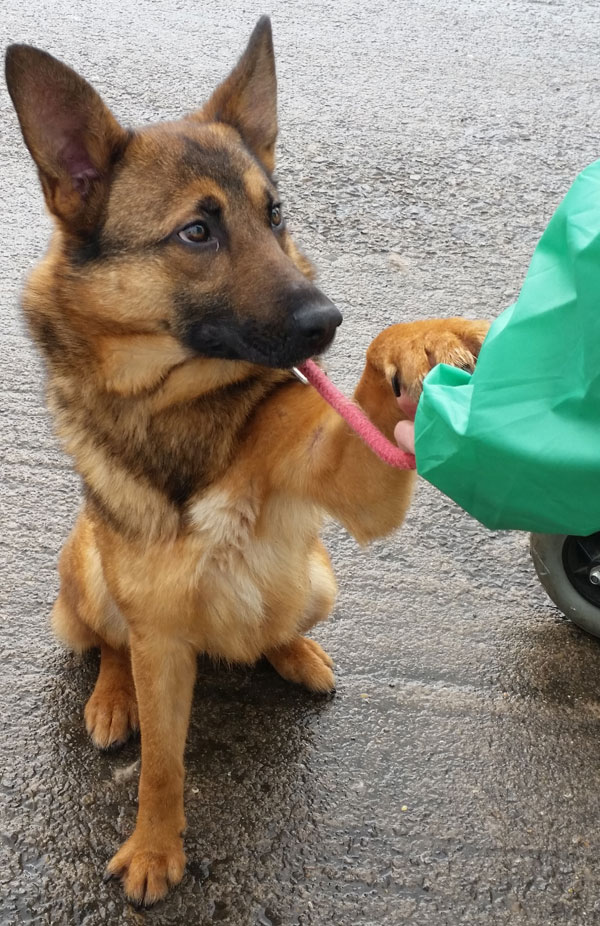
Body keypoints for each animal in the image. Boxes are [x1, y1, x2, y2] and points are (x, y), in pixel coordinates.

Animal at [5, 20, 488, 908]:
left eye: (276, 214)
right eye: (198, 231)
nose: (327, 321)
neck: (176, 404)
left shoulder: (354, 482)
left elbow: (377, 380)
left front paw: (419, 339)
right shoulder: (160, 637)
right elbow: (161, 766)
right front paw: (156, 847)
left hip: (317, 576)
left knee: (274, 624)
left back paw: (293, 652)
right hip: (90, 568)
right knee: (109, 644)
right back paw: (111, 698)